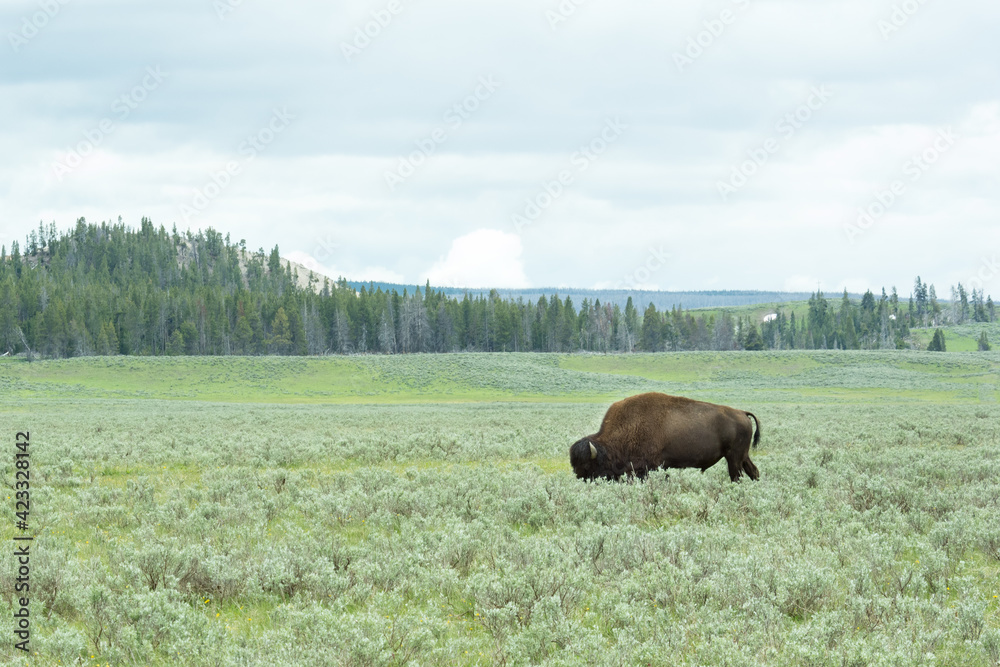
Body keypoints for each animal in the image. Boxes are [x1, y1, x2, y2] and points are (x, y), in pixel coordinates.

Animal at [569, 392, 761, 482]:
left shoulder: (646, 468)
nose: (582, 481)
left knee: (737, 476)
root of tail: (742, 413)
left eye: (588, 466)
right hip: (742, 456)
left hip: (734, 458)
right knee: (753, 471)